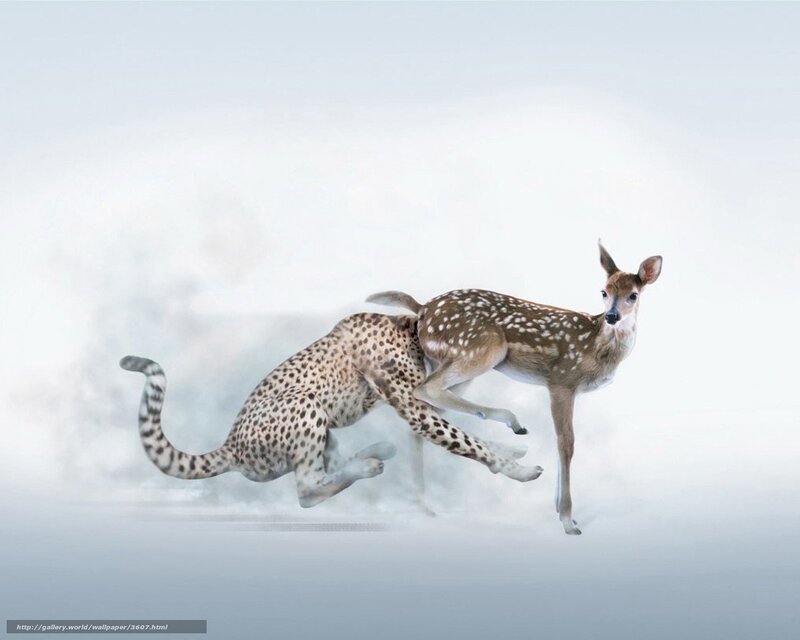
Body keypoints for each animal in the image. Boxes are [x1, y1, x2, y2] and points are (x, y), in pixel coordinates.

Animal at [367, 241, 662, 534]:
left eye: (633, 295)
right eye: (604, 291)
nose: (612, 316)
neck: (597, 345)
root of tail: (422, 309)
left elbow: (560, 442)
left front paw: (561, 512)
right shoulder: (562, 380)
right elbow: (566, 443)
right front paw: (568, 520)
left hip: (452, 361)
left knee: (424, 415)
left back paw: (424, 505)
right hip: (484, 348)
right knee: (425, 390)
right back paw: (512, 422)